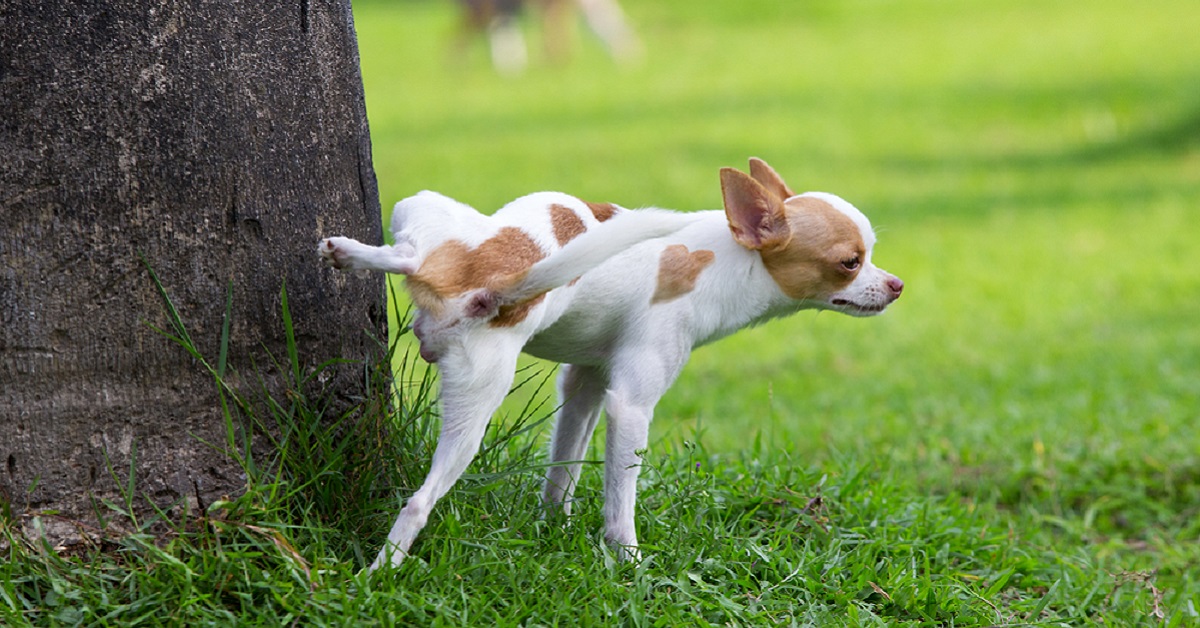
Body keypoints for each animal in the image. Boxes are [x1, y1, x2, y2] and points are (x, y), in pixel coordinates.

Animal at [316, 157, 902, 569]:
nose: (896, 285)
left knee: (411, 255)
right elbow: (621, 500)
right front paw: (628, 563)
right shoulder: (631, 407)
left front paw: (552, 528)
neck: (725, 259)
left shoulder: (585, 386)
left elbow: (564, 469)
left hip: (434, 250)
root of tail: (494, 284)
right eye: (850, 263)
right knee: (419, 501)